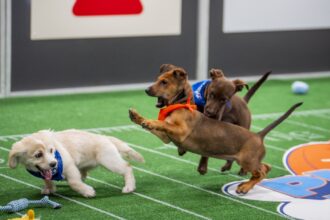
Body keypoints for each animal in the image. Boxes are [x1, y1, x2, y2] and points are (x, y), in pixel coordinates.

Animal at [7, 129, 144, 198]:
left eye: (51, 150)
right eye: (38, 155)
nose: (54, 163)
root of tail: (105, 137)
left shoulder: (69, 167)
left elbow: (73, 182)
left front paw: (88, 192)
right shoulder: (46, 172)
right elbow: (47, 179)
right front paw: (50, 189)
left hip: (109, 160)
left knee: (127, 167)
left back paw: (129, 187)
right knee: (83, 175)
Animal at [128, 67, 302, 194]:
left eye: (164, 82)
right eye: (157, 80)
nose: (146, 90)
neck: (180, 104)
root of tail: (258, 135)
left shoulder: (180, 132)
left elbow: (161, 123)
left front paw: (148, 121)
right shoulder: (167, 137)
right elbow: (159, 125)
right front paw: (138, 117)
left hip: (247, 160)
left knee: (262, 172)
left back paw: (244, 187)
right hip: (250, 160)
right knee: (266, 167)